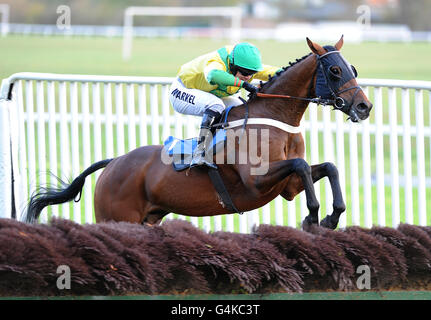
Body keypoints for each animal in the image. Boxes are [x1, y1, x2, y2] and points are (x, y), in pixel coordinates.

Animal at [25, 36, 372, 229]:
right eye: (335, 70)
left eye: (353, 68)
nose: (364, 106)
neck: (274, 118)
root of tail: (113, 163)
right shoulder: (257, 181)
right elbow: (300, 165)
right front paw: (313, 217)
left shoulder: (287, 187)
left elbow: (328, 167)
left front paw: (331, 217)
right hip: (116, 217)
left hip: (149, 219)